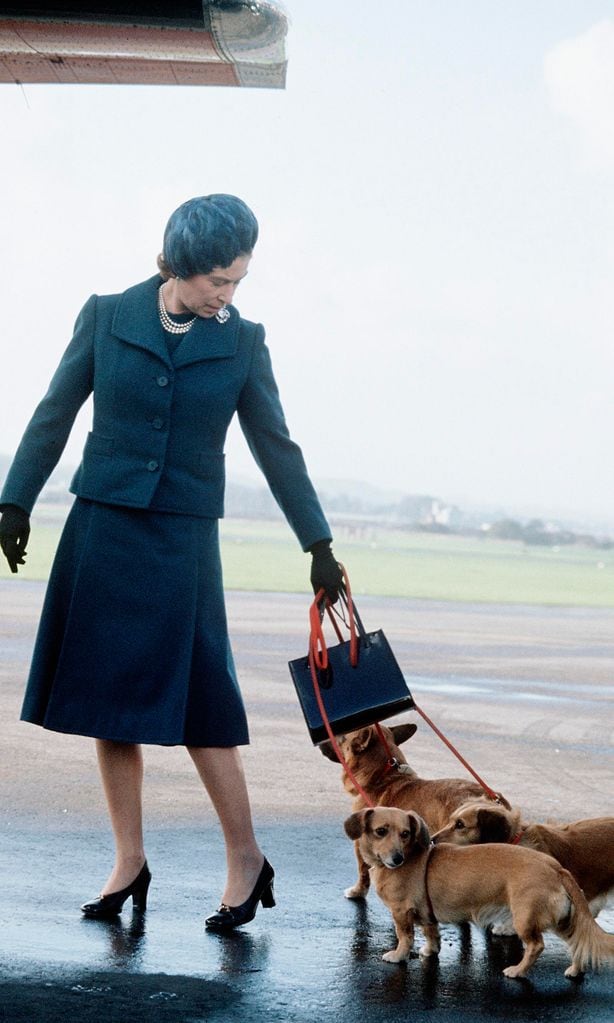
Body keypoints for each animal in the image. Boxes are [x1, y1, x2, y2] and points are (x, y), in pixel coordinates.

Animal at [321, 724, 507, 900]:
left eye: (340, 736)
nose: (321, 741)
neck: (384, 777)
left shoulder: (362, 845)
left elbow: (363, 871)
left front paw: (358, 891)